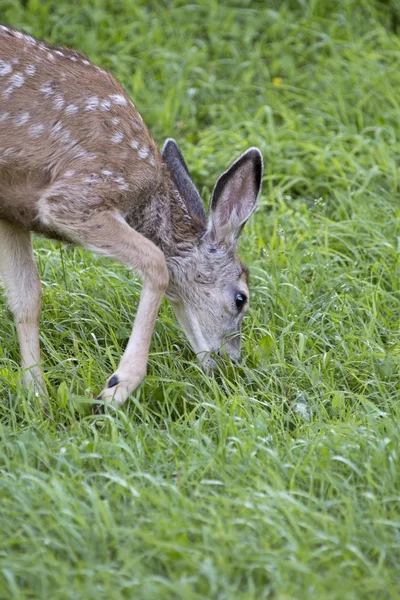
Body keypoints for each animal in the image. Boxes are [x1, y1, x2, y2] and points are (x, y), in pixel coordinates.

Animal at [0, 28, 262, 410]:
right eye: (241, 298)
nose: (232, 363)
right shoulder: (75, 196)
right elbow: (157, 263)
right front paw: (115, 387)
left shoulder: (12, 211)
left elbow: (26, 298)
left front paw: (37, 398)